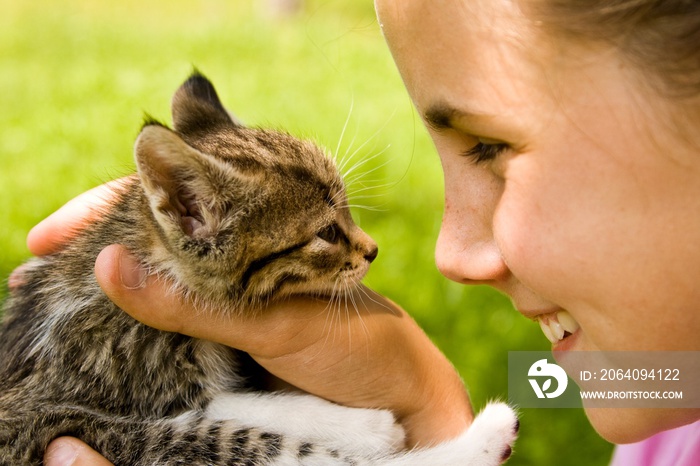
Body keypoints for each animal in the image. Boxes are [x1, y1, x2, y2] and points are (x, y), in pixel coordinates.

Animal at [0, 73, 516, 466]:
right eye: (327, 233)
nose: (372, 251)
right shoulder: (94, 393)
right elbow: (227, 411)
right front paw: (365, 428)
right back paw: (485, 436)